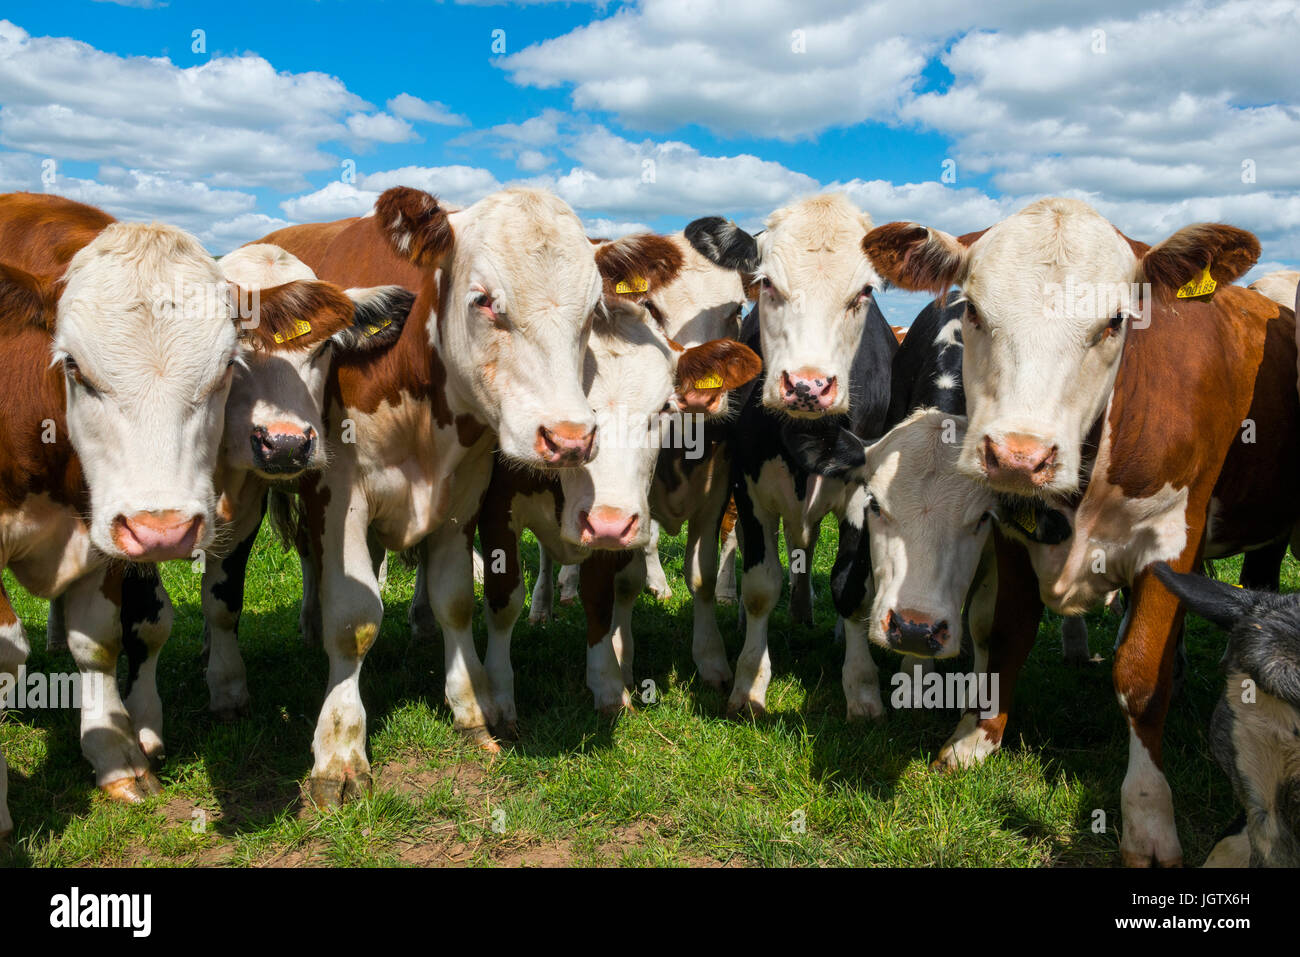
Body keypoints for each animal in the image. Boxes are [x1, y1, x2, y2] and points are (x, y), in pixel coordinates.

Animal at [0, 192, 244, 832]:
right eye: (72, 367)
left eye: (227, 368)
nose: (164, 530)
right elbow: (5, 652)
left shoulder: (105, 536)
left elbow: (102, 641)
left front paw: (116, 755)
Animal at [253, 184, 624, 800]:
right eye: (484, 301)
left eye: (594, 310)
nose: (570, 438)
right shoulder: (337, 495)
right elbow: (352, 618)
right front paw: (340, 749)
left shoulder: (462, 497)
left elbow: (456, 600)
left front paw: (470, 709)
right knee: (310, 556)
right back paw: (309, 619)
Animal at [686, 195, 899, 717]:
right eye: (765, 282)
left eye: (865, 291)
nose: (807, 386)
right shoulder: (749, 486)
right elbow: (762, 585)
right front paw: (749, 682)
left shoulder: (863, 492)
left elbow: (850, 586)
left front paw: (862, 688)